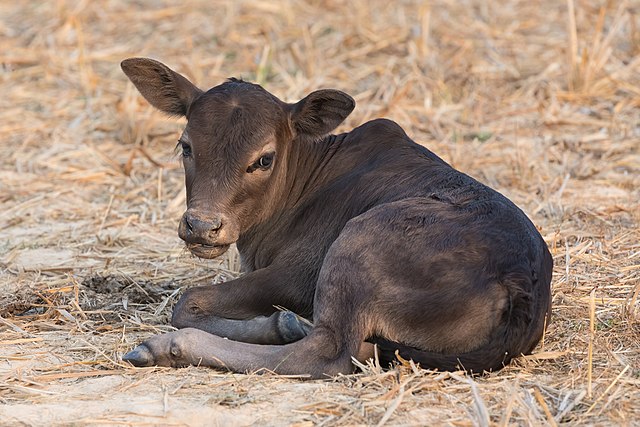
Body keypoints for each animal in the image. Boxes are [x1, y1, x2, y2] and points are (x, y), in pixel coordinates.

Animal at [122, 57, 552, 382]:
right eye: (186, 146)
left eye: (264, 159)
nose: (201, 225)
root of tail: (521, 277)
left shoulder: (298, 274)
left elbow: (188, 303)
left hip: (358, 245)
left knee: (328, 353)